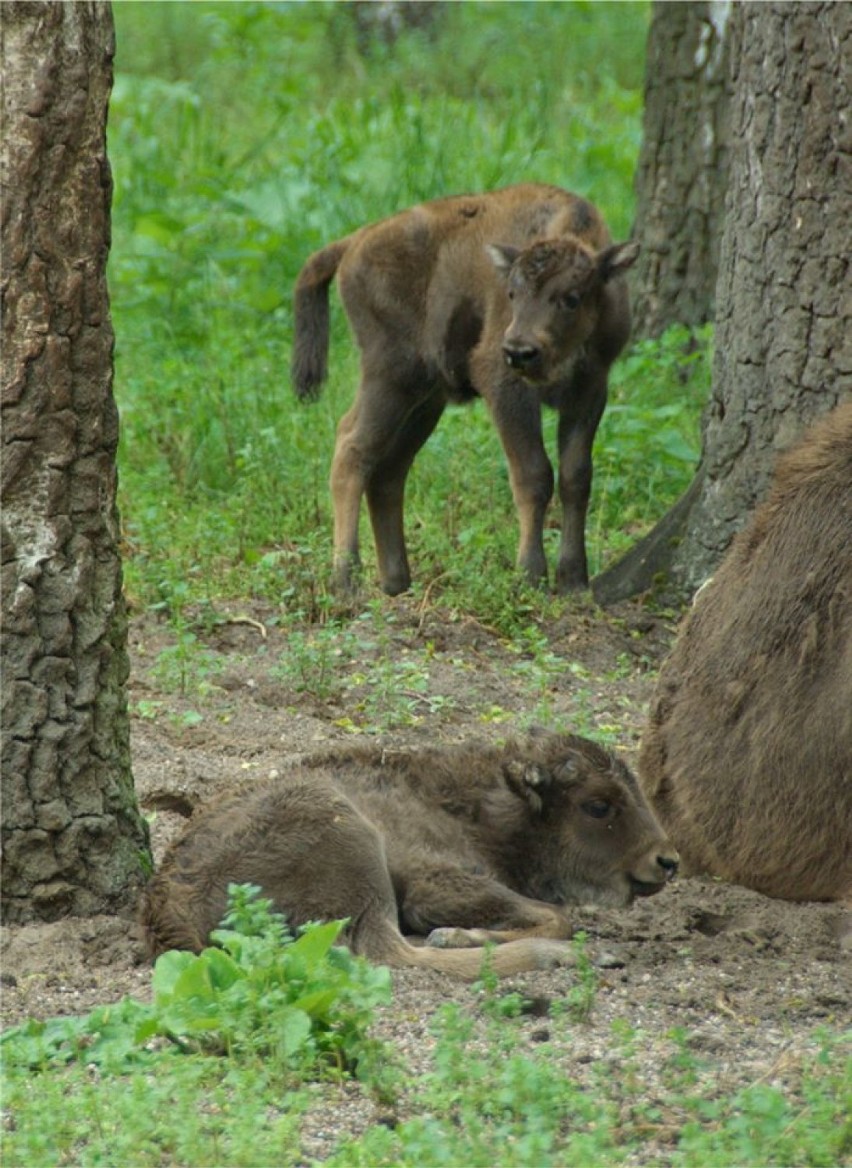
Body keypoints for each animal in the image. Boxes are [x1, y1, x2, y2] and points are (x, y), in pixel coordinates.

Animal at [141, 728, 677, 976]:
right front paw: (456, 935)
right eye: (598, 805)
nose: (666, 861)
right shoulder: (434, 883)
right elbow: (556, 916)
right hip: (355, 846)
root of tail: (166, 907)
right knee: (389, 952)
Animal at [288, 186, 635, 598]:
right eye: (512, 293)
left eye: (572, 297)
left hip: (424, 400)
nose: (519, 351)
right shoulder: (504, 387)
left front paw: (574, 579)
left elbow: (575, 476)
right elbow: (533, 475)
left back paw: (396, 580)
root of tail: (354, 241)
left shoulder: (590, 390)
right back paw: (346, 578)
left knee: (388, 470)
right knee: (352, 447)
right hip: (391, 376)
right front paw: (530, 575)